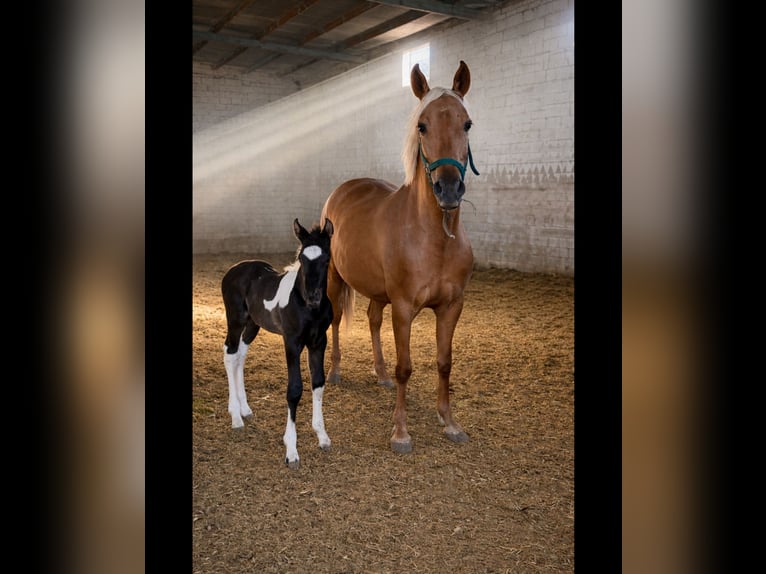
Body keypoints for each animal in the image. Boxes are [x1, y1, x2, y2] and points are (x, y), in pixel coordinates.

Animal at [221, 218, 334, 469]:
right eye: (302, 258)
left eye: (326, 259)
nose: (313, 296)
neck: (307, 308)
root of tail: (234, 269)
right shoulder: (291, 342)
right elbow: (294, 390)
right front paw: (291, 450)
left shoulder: (319, 342)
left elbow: (318, 383)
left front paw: (322, 436)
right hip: (236, 320)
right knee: (230, 353)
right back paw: (235, 416)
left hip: (252, 325)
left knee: (240, 354)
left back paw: (245, 409)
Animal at [320, 61, 479, 454]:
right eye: (422, 125)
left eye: (466, 123)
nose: (448, 189)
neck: (434, 238)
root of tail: (342, 190)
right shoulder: (405, 308)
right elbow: (405, 367)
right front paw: (401, 432)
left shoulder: (452, 306)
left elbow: (444, 362)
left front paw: (449, 422)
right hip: (334, 279)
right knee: (335, 319)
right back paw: (334, 372)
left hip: (378, 292)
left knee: (373, 320)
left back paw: (379, 374)